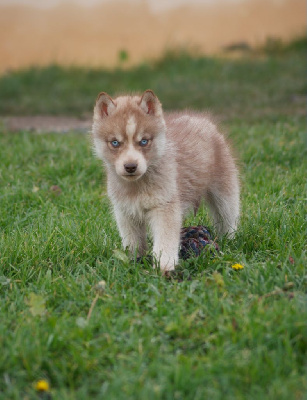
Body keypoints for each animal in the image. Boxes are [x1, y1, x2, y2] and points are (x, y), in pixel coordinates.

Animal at [92, 90, 241, 272]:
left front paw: (165, 266)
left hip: (225, 195)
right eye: (115, 142)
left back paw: (229, 240)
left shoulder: (164, 208)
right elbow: (132, 242)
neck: (137, 186)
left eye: (144, 141)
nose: (130, 166)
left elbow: (165, 241)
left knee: (228, 217)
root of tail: (202, 120)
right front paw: (134, 261)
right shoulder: (126, 213)